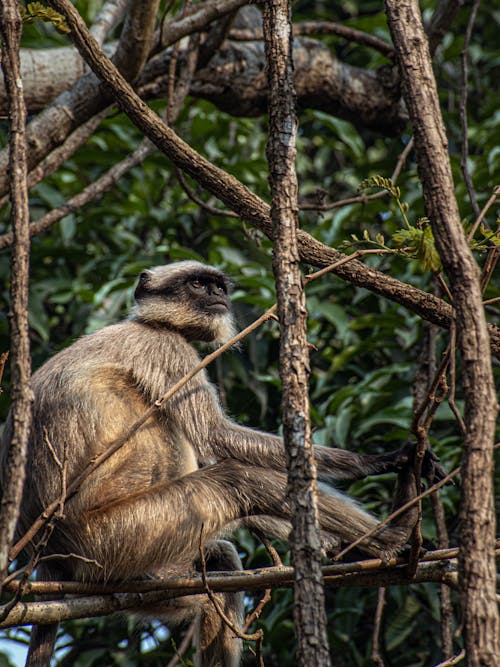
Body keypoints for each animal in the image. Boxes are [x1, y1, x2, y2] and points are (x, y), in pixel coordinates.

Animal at [0, 260, 442, 667]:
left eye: (217, 286)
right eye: (197, 284)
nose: (218, 295)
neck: (151, 324)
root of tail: (47, 550)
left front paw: (334, 544)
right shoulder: (167, 349)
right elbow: (217, 437)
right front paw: (382, 460)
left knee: (219, 559)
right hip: (113, 535)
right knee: (236, 479)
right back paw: (394, 535)